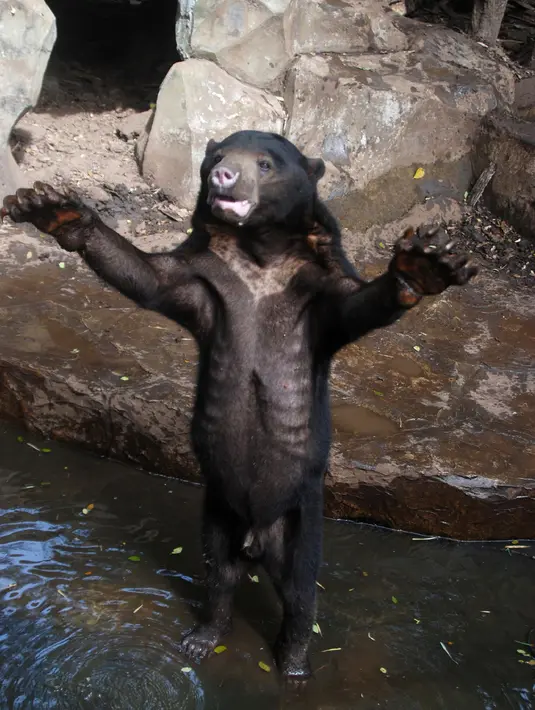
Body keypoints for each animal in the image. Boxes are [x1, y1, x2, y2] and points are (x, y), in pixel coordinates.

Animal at [1, 130, 477, 679]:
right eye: (217, 155)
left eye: (265, 164)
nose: (221, 176)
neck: (258, 255)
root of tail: (255, 536)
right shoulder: (204, 277)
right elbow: (150, 277)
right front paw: (52, 207)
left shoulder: (317, 288)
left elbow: (356, 305)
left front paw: (425, 265)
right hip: (217, 509)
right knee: (219, 575)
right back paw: (203, 636)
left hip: (300, 515)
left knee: (299, 592)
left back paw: (293, 662)